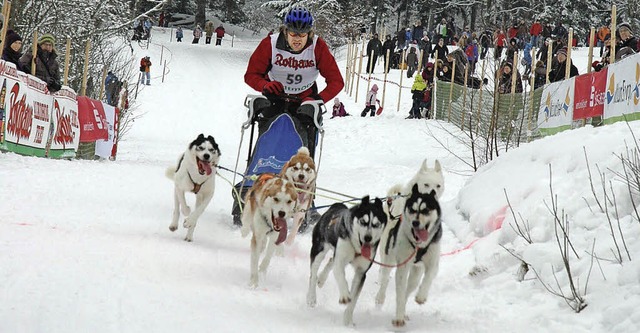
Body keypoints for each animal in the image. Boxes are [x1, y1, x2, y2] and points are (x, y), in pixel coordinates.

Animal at [308, 196, 388, 326]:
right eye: (363, 221)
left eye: (376, 224)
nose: (368, 238)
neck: (356, 247)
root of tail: (336, 205)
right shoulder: (340, 262)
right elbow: (341, 278)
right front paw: (345, 295)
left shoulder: (361, 273)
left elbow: (354, 299)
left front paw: (348, 320)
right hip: (319, 250)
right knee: (313, 274)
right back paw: (311, 297)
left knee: (331, 261)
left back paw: (321, 279)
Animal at [372, 184, 442, 326]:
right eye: (412, 210)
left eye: (426, 210)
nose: (415, 222)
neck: (419, 245)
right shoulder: (402, 267)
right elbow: (399, 293)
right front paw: (398, 318)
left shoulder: (432, 263)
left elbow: (428, 278)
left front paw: (421, 296)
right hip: (389, 259)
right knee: (385, 278)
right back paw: (380, 297)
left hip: (415, 274)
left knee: (409, 289)